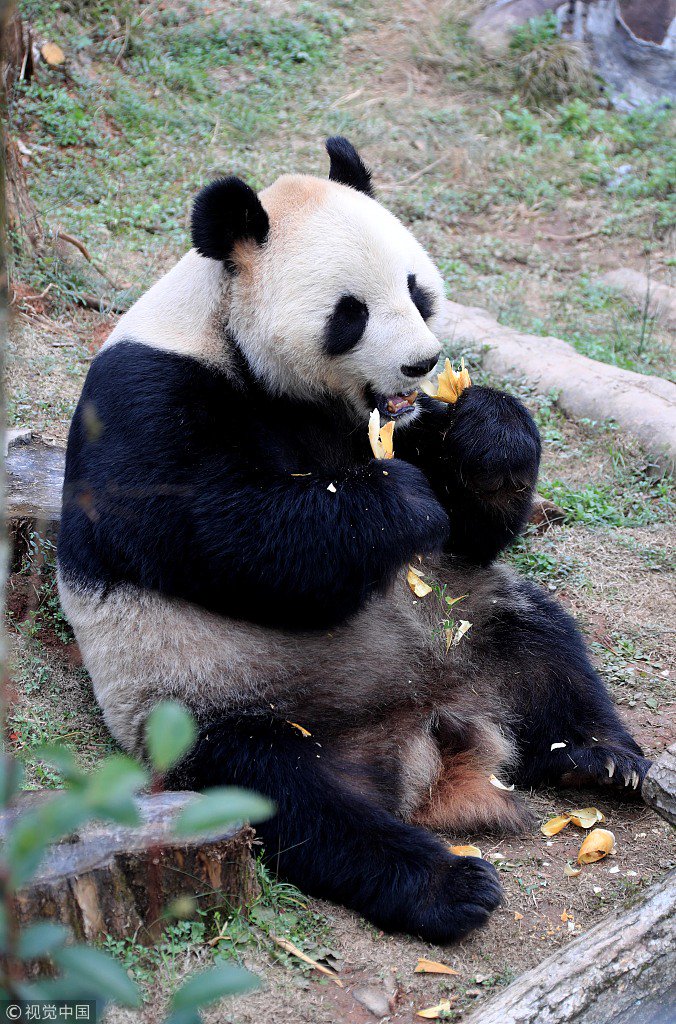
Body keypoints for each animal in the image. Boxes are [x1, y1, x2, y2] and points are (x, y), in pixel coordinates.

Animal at [58, 137, 649, 944]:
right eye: (351, 314)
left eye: (417, 290)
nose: (422, 361)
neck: (231, 337)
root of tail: (428, 733)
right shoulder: (145, 394)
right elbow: (210, 530)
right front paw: (399, 502)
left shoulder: (396, 423)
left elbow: (473, 526)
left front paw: (487, 432)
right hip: (211, 706)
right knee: (285, 794)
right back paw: (446, 884)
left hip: (468, 630)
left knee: (543, 651)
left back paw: (601, 759)